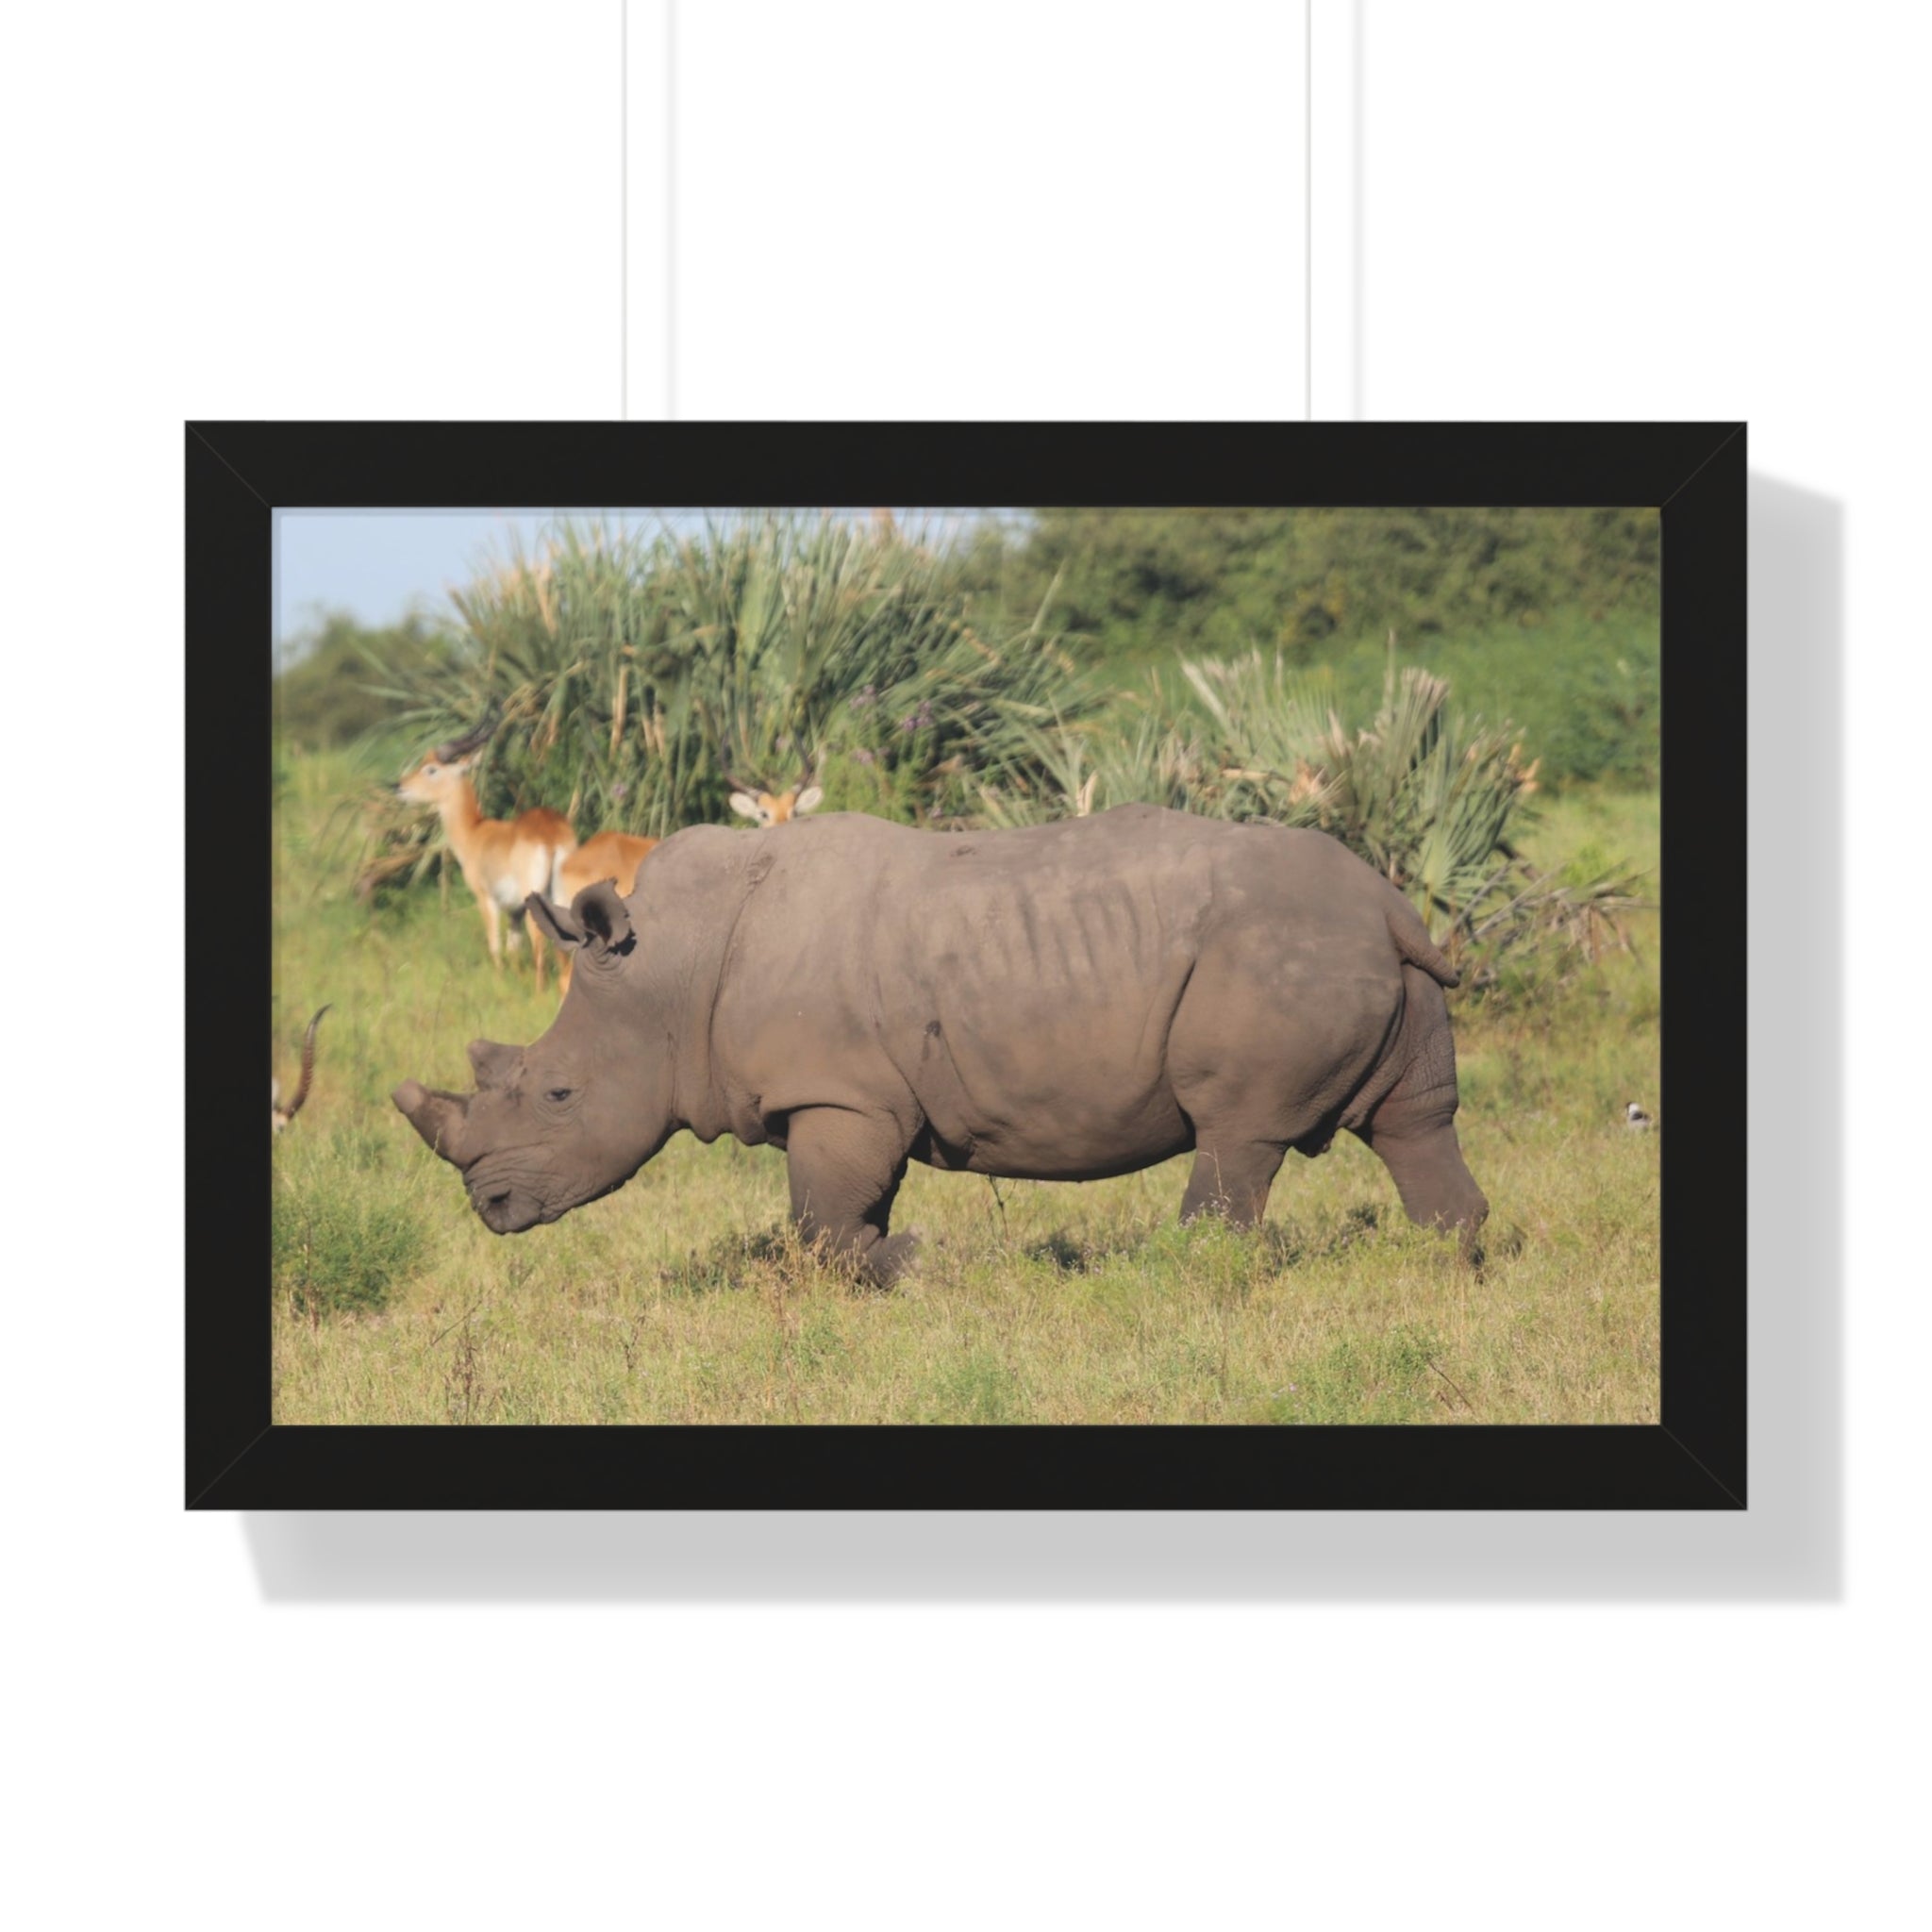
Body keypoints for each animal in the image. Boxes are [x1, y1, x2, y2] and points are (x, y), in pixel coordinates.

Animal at [393, 806, 1488, 1283]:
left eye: (558, 1096)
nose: (489, 1207)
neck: (670, 969)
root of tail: (1390, 904)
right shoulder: (852, 1097)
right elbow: (842, 1212)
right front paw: (896, 1264)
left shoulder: (836, 1091)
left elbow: (819, 1220)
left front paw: (916, 1263)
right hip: (1360, 954)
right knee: (1414, 1121)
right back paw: (1447, 1270)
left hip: (1276, 954)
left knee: (1238, 1130)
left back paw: (1185, 1282)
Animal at [397, 711, 578, 993]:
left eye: (431, 768)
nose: (400, 786)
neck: (475, 832)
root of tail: (551, 837)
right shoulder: (515, 911)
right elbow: (514, 950)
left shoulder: (487, 899)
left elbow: (496, 946)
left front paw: (501, 984)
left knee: (539, 943)